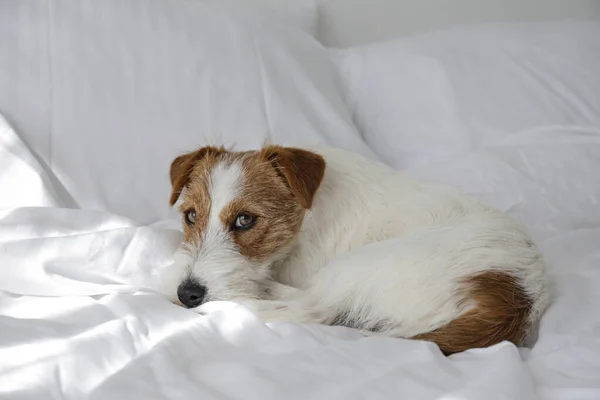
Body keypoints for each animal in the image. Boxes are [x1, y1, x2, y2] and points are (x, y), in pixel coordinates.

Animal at [163, 145, 548, 354]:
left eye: (245, 220)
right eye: (191, 215)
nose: (188, 294)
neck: (306, 219)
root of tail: (515, 298)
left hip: (354, 267)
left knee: (311, 309)